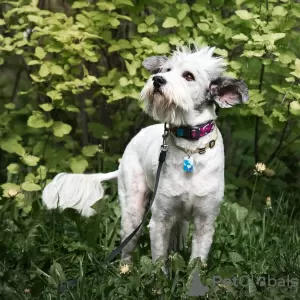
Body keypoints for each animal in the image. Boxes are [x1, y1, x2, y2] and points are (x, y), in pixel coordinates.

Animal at [42, 45, 248, 264]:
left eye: (188, 76)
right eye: (166, 70)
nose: (157, 79)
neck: (190, 148)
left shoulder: (205, 223)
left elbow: (196, 263)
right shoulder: (160, 220)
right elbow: (158, 263)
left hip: (180, 224)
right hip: (133, 208)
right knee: (128, 247)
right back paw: (125, 268)